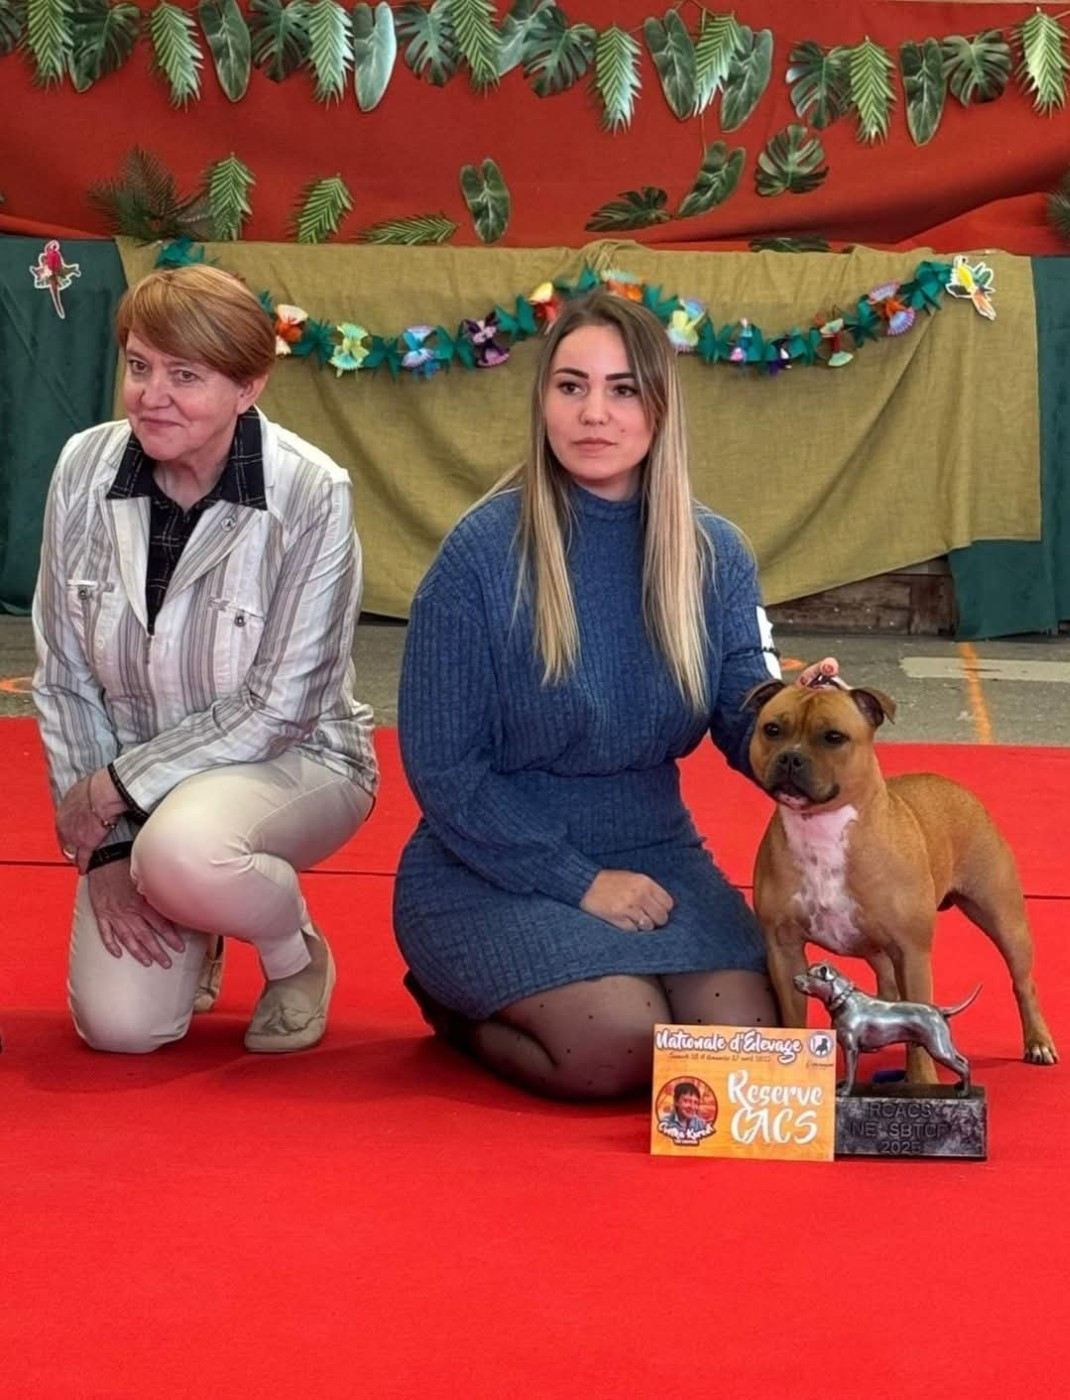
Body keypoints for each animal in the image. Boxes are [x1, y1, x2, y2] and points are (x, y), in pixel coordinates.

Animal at [795, 961, 978, 1095]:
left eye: (809, 975)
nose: (794, 979)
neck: (844, 1001)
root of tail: (940, 1010)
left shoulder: (851, 1049)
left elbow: (850, 1072)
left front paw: (845, 1091)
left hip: (939, 1050)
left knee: (962, 1067)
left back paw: (964, 1093)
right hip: (945, 1046)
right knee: (964, 1061)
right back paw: (960, 1086)